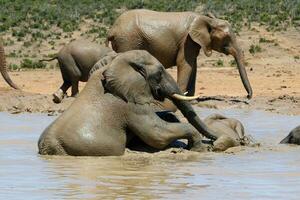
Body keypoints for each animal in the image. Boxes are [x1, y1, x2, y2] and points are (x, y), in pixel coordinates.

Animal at [106, 9, 252, 98]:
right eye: (227, 38)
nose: (248, 96)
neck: (206, 19)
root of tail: (112, 29)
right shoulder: (187, 40)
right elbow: (185, 64)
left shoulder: (192, 42)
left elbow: (193, 66)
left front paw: (191, 98)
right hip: (128, 41)